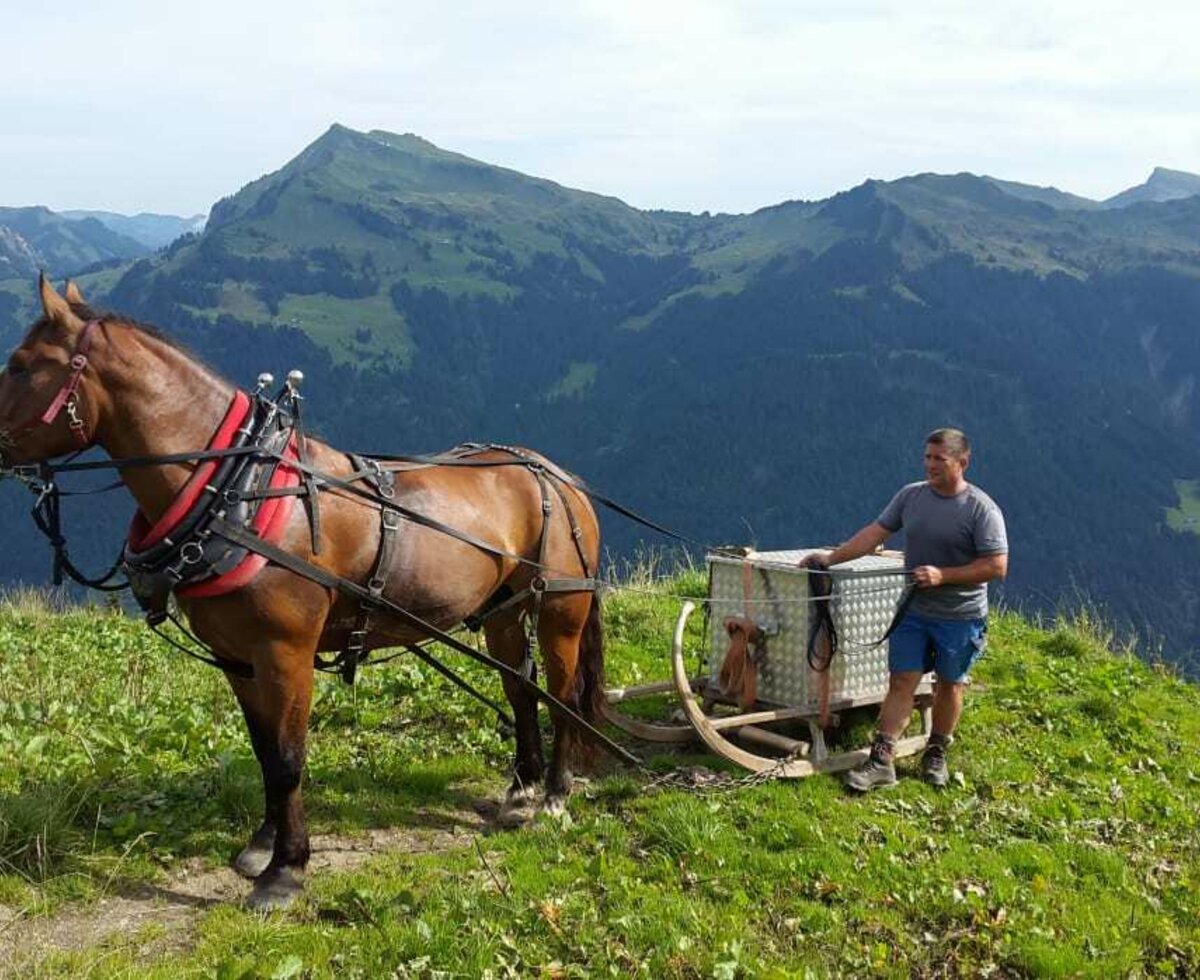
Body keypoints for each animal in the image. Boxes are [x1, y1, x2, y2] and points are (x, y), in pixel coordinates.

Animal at [0, 277, 604, 911]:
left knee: (562, 691)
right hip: (502, 612)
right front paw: (263, 844)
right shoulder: (237, 657)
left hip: (561, 607)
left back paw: (555, 793)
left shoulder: (285, 653)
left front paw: (286, 870)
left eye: (20, 366)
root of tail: (557, 475)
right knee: (521, 689)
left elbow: (290, 760)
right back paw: (522, 787)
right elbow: (265, 753)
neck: (242, 491)